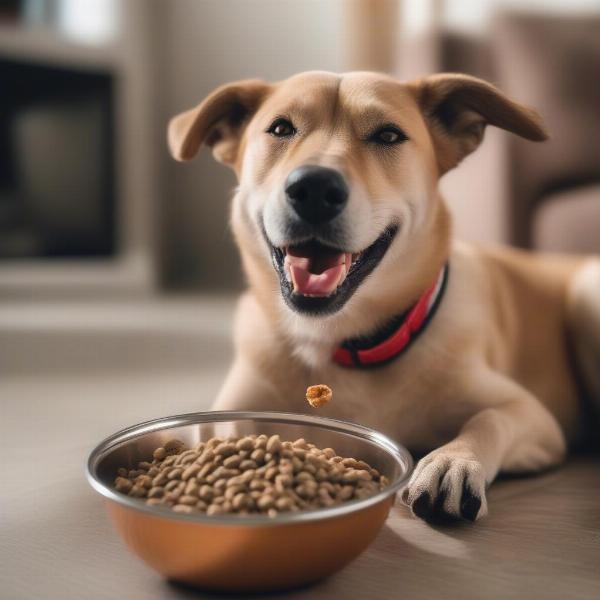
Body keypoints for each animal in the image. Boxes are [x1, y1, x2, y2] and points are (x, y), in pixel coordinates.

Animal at [169, 69, 600, 520]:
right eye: (281, 128)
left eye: (388, 135)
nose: (314, 188)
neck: (340, 340)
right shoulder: (236, 404)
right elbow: (226, 428)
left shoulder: (532, 416)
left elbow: (488, 421)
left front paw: (454, 461)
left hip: (587, 294)